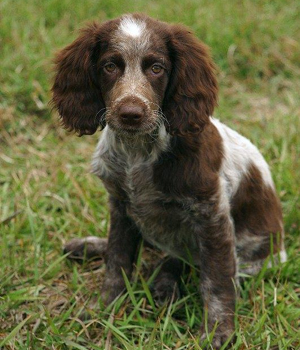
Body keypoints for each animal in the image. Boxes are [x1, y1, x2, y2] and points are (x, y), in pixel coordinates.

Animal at [51, 13, 286, 348]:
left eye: (156, 68)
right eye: (110, 66)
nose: (131, 113)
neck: (137, 152)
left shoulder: (211, 215)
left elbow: (216, 280)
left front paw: (218, 331)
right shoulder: (120, 205)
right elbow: (117, 261)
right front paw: (105, 310)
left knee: (183, 260)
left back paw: (164, 283)